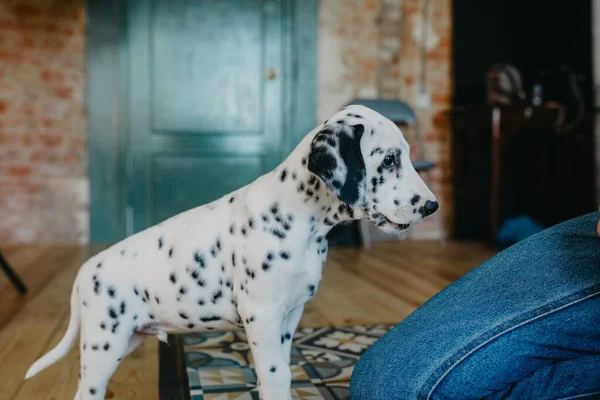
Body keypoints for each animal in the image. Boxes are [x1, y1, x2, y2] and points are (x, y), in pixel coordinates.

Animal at [23, 104, 438, 398]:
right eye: (389, 160)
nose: (432, 206)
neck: (301, 217)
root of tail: (87, 271)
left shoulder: (288, 318)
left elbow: (283, 373)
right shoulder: (262, 316)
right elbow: (275, 378)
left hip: (125, 339)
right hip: (102, 345)